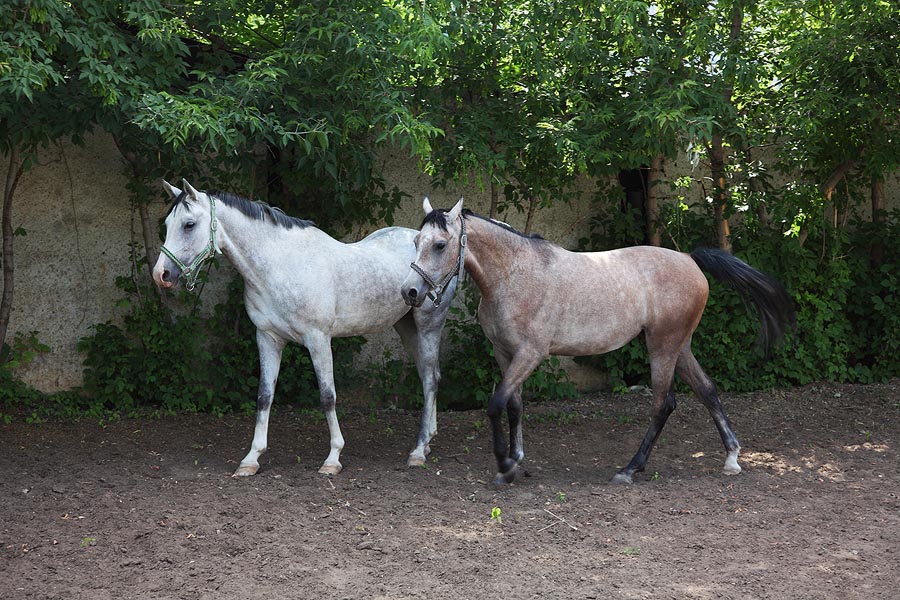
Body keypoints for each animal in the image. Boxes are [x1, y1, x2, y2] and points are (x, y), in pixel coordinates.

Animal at [152, 178, 458, 474]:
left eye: (189, 224)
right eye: (166, 224)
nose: (161, 274)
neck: (280, 266)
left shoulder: (318, 339)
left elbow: (327, 395)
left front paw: (333, 458)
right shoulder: (267, 338)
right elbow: (264, 396)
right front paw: (251, 459)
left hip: (428, 326)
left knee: (430, 379)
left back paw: (418, 451)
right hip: (406, 328)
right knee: (429, 375)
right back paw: (428, 441)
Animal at [402, 199, 796, 486]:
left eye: (440, 245)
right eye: (416, 242)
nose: (410, 292)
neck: (515, 274)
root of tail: (689, 259)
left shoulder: (531, 353)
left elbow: (496, 404)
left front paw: (505, 467)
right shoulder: (505, 354)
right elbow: (514, 406)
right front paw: (516, 460)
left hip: (663, 346)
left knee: (663, 404)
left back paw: (629, 469)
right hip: (679, 346)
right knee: (708, 390)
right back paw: (731, 458)